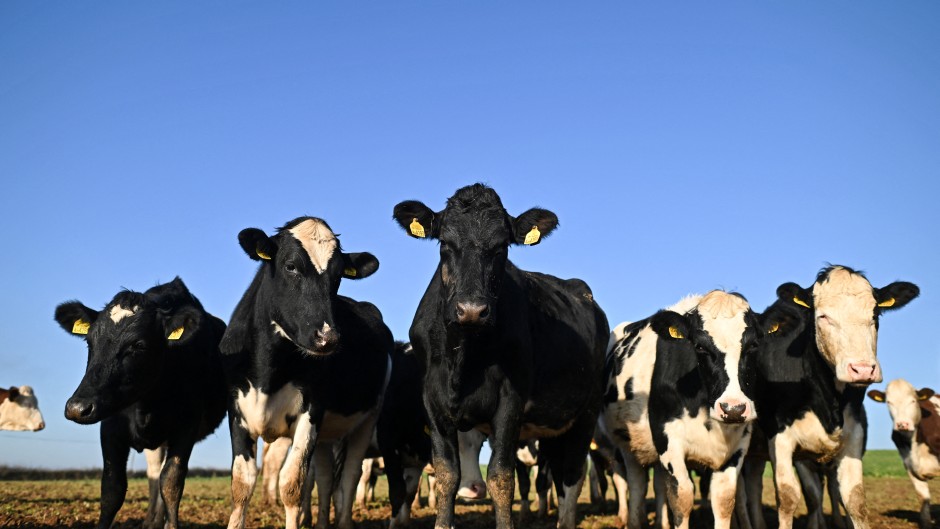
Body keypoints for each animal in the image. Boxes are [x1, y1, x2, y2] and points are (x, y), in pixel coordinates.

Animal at [54, 277, 227, 529]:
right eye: (89, 342)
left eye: (138, 345)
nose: (77, 408)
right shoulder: (110, 427)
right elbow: (112, 488)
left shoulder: (187, 425)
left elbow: (171, 482)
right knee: (153, 472)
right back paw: (151, 521)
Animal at [221, 216, 392, 529]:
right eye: (290, 266)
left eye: (338, 276)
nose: (328, 338)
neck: (268, 372)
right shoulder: (236, 409)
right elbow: (242, 484)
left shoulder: (312, 410)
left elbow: (292, 485)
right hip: (326, 435)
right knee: (324, 479)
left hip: (367, 419)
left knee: (350, 478)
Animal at [392, 183, 609, 529]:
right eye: (445, 243)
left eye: (501, 247)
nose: (471, 310)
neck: (463, 360)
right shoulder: (431, 401)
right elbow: (446, 475)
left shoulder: (510, 401)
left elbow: (501, 477)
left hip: (586, 411)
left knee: (572, 477)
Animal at [602, 290, 762, 529]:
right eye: (700, 346)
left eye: (753, 345)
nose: (732, 408)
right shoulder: (668, 440)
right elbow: (682, 497)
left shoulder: (739, 445)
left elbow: (724, 500)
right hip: (626, 444)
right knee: (636, 483)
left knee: (658, 484)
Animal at [743, 265, 919, 529]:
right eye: (823, 316)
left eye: (875, 314)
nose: (862, 369)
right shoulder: (780, 437)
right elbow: (789, 496)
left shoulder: (854, 435)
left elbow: (854, 499)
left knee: (753, 485)